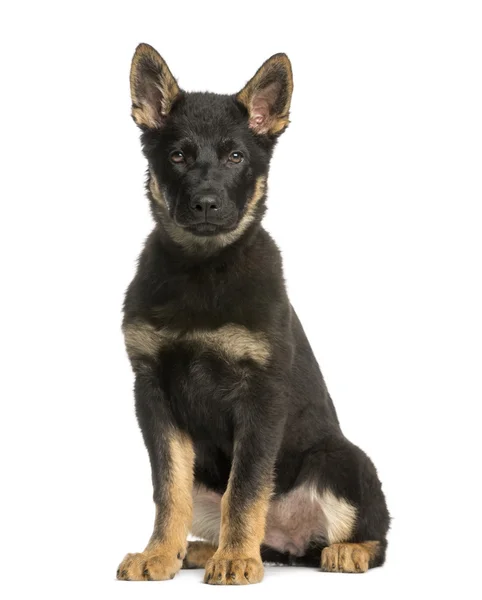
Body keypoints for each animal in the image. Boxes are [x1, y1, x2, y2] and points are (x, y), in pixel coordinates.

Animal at [117, 43, 392, 584]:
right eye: (177, 155)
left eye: (236, 156)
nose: (206, 203)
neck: (203, 268)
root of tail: (292, 543)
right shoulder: (152, 391)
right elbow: (169, 489)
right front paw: (159, 553)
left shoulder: (261, 395)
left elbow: (245, 488)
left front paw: (235, 560)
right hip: (208, 475)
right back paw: (201, 550)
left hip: (342, 459)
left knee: (376, 535)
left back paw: (340, 551)